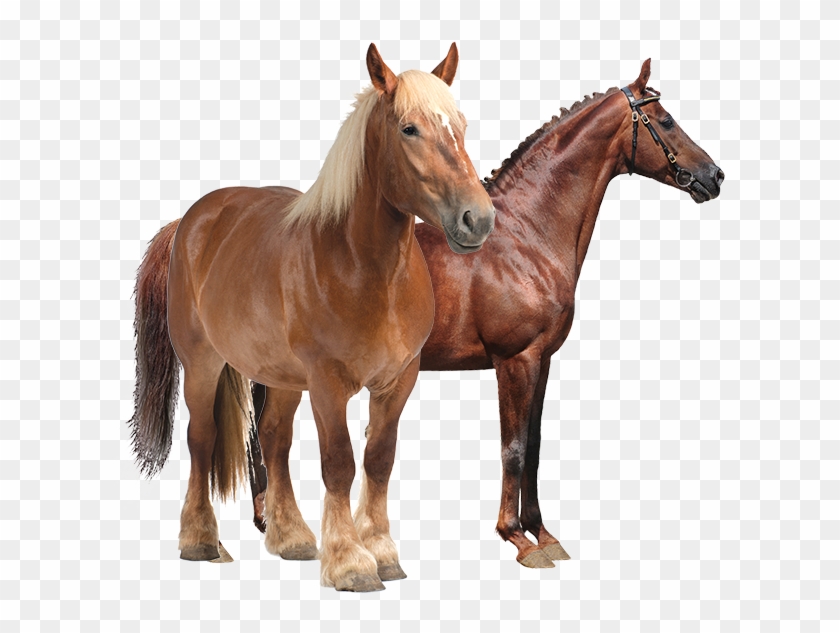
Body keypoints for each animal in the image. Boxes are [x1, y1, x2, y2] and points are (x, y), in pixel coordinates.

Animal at [128, 43, 495, 593]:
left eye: (462, 125)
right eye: (409, 129)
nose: (479, 219)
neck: (363, 267)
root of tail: (191, 221)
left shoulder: (398, 380)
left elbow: (378, 460)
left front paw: (381, 551)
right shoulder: (327, 383)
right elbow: (339, 462)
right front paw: (349, 562)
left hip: (282, 377)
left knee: (275, 440)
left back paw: (293, 537)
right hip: (202, 363)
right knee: (201, 438)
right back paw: (199, 540)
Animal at [246, 59, 724, 569]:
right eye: (666, 121)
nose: (714, 176)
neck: (525, 236)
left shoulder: (542, 360)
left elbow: (533, 446)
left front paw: (543, 533)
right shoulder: (514, 360)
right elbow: (512, 449)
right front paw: (516, 537)